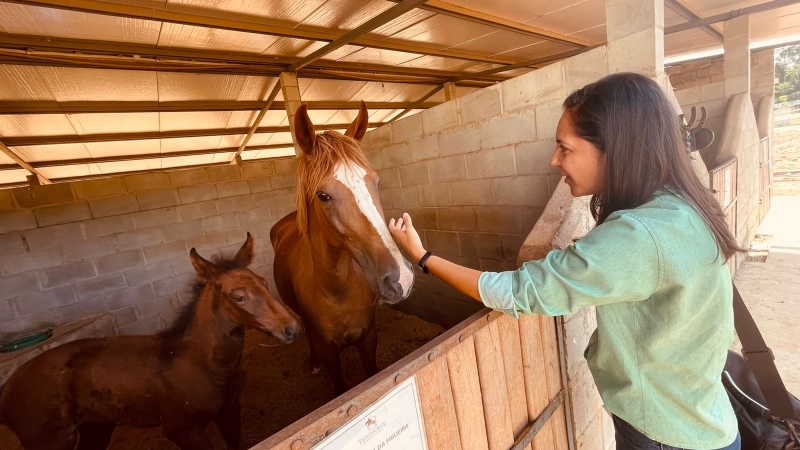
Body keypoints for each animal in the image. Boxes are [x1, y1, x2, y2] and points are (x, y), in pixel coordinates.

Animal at [0, 234, 296, 448]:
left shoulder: (230, 412)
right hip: (51, 440)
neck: (196, 363)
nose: (291, 328)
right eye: (239, 297)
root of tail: (8, 388)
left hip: (97, 427)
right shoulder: (183, 430)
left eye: (264, 283)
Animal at [272, 101, 416, 394]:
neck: (337, 291)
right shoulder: (329, 354)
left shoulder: (368, 340)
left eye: (376, 182)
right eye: (323, 196)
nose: (401, 280)